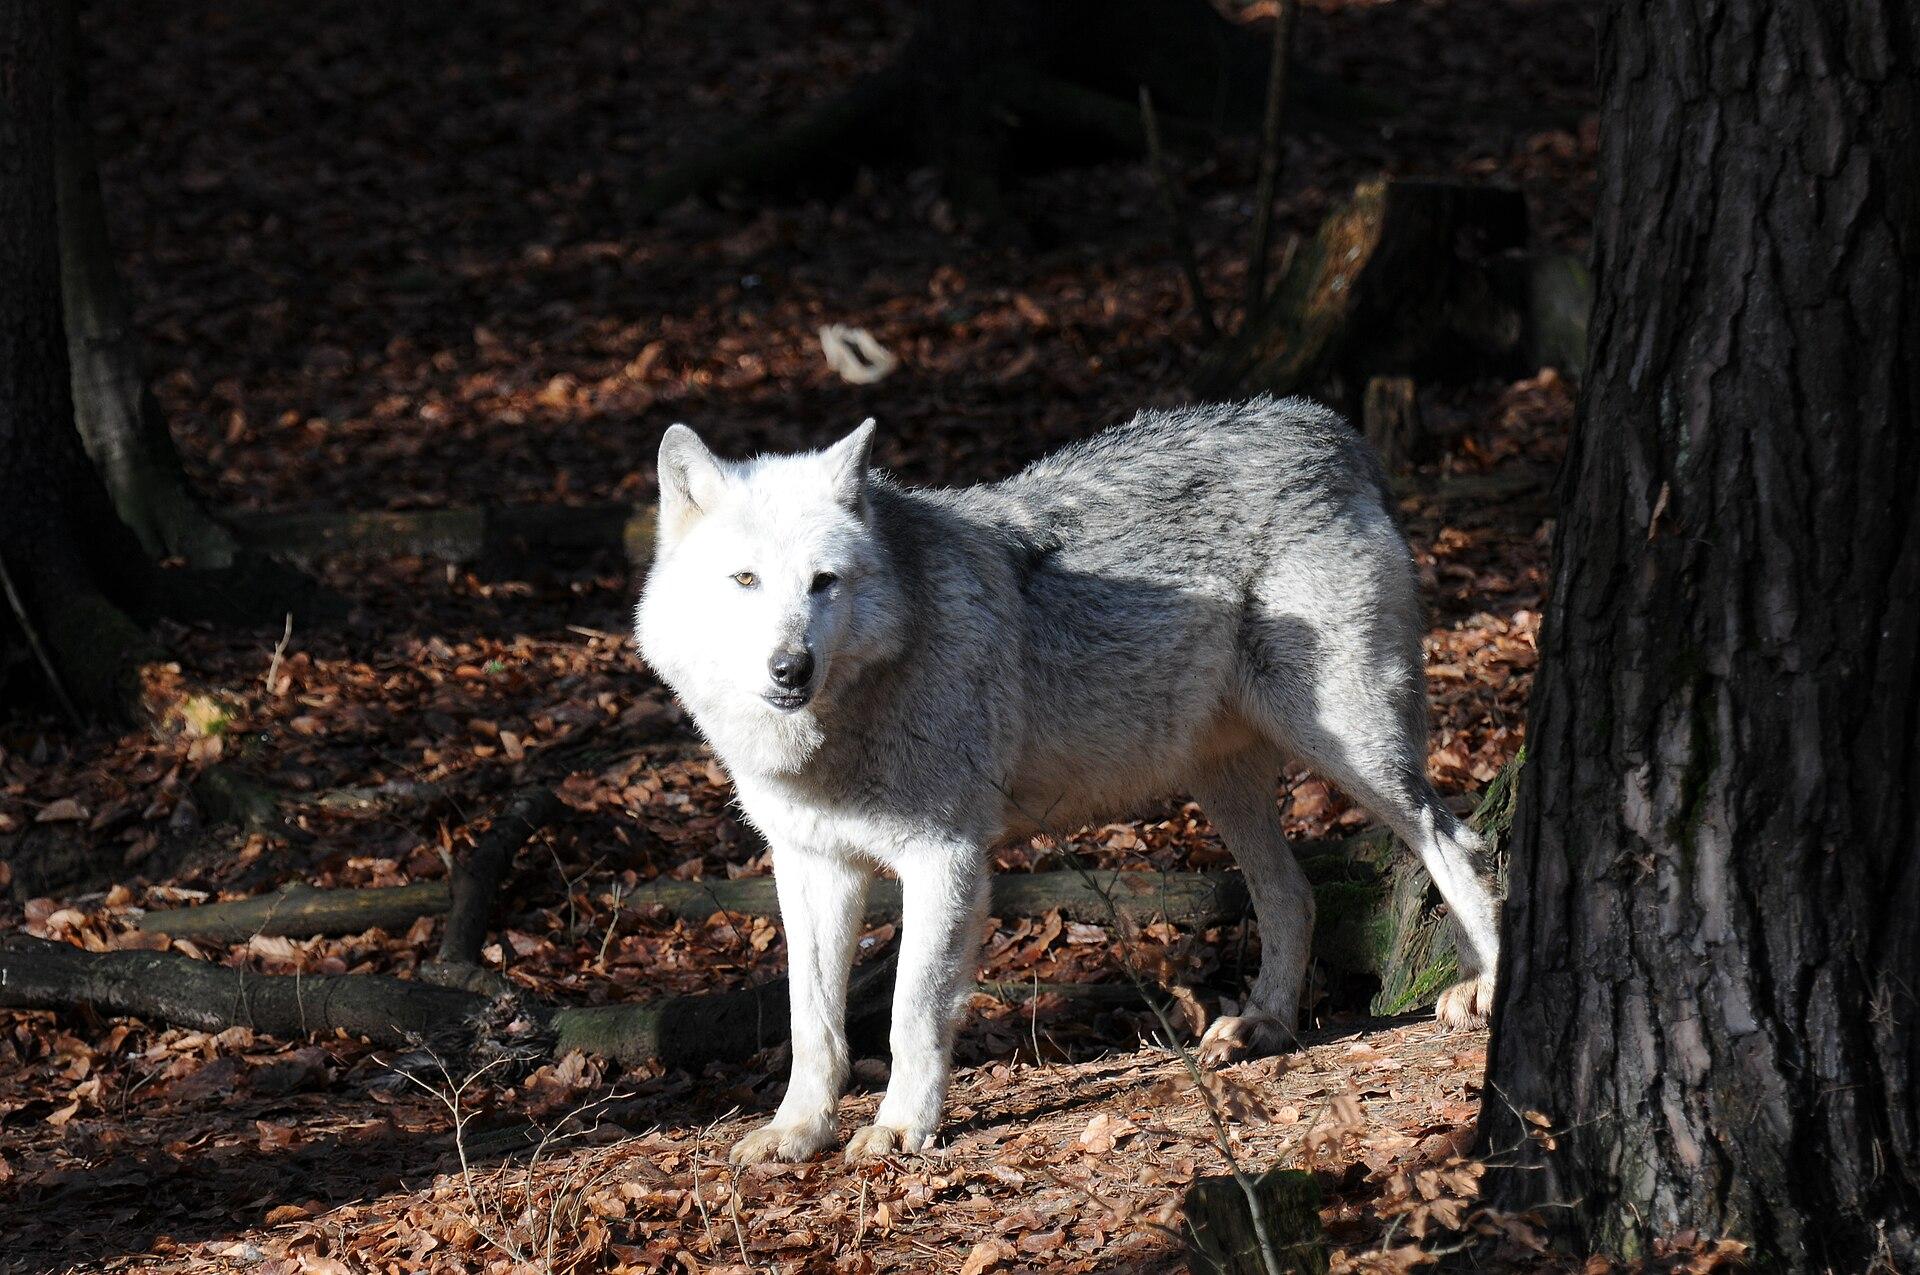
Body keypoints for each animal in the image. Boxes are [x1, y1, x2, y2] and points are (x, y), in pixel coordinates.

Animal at [634, 397, 1501, 1164]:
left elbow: (911, 1009)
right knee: (1294, 893)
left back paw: (1488, 984)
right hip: (1224, 782)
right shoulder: (811, 863)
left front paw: (901, 1128)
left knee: (1453, 840)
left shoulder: (943, 855)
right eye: (745, 580)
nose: (791, 667)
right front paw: (797, 1130)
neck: (835, 729)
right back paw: (1262, 1024)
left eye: (824, 582)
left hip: (1350, 749)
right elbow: (810, 1020)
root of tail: (1326, 426)